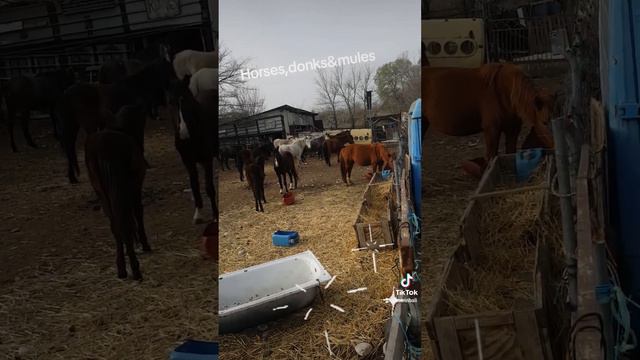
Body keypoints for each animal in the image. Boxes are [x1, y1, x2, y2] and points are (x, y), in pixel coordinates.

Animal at [84, 129, 151, 282]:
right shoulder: (135, 187)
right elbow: (138, 212)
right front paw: (144, 244)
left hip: (102, 192)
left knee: (116, 225)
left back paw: (122, 269)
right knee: (125, 222)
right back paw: (135, 269)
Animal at [166, 75, 219, 222]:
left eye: (187, 101)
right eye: (170, 102)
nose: (183, 133)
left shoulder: (207, 159)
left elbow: (209, 187)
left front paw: (215, 215)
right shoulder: (188, 162)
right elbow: (195, 185)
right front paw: (198, 214)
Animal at [420, 63, 556, 162]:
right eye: (544, 122)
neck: (505, 92)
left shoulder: (513, 129)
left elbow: (510, 152)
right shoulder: (492, 130)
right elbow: (491, 156)